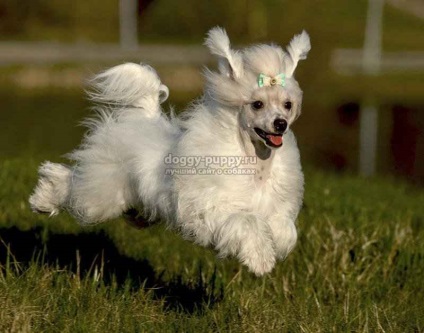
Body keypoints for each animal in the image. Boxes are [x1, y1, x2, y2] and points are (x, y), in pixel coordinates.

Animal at [29, 27, 308, 274]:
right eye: (257, 104)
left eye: (287, 105)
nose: (280, 124)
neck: (255, 162)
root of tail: (142, 116)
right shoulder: (215, 210)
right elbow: (248, 222)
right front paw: (261, 261)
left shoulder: (274, 208)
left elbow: (284, 228)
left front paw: (276, 245)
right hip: (102, 194)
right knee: (71, 185)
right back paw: (42, 199)